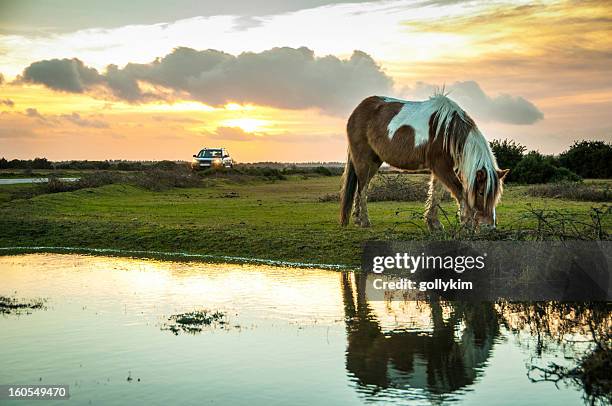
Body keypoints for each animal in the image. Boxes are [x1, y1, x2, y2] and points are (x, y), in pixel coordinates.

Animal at [340, 93, 506, 230]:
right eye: (481, 192)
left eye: (496, 195)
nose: (490, 226)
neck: (447, 131)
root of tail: (358, 109)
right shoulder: (441, 167)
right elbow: (460, 192)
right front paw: (466, 222)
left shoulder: (442, 168)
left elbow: (436, 194)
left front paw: (434, 224)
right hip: (364, 159)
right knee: (362, 188)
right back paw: (364, 221)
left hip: (374, 161)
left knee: (361, 186)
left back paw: (357, 219)